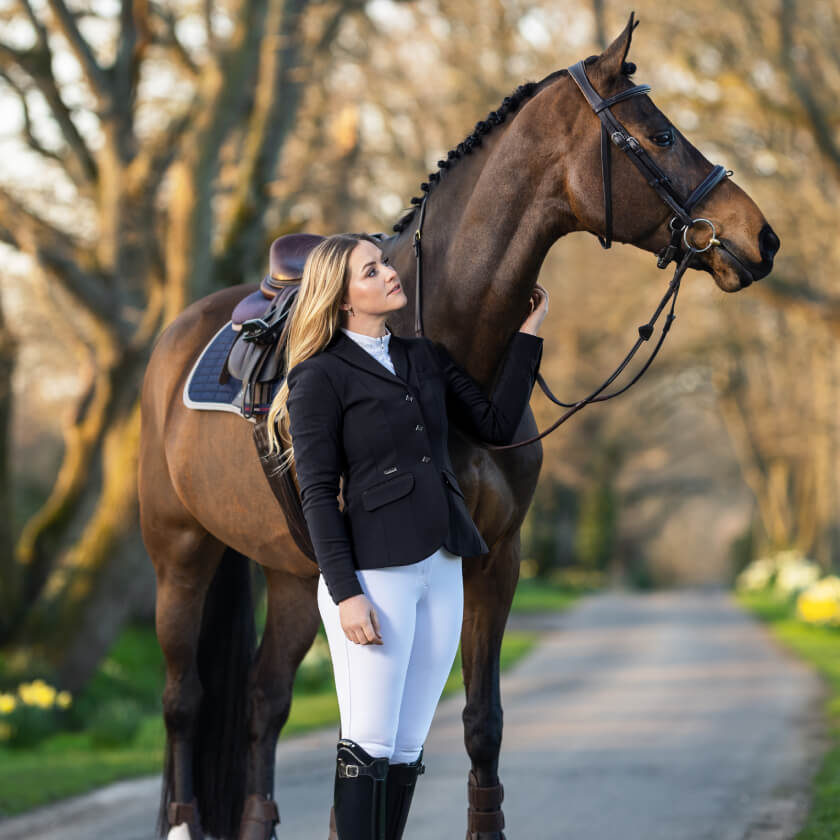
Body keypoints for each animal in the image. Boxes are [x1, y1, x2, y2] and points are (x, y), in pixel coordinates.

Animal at [138, 15, 779, 840]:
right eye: (661, 134)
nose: (760, 237)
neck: (445, 338)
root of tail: (181, 330)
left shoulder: (494, 558)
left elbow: (482, 722)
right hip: (181, 553)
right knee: (183, 701)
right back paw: (184, 818)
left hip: (292, 573)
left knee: (263, 701)